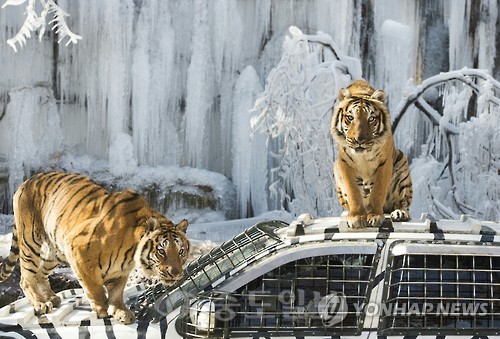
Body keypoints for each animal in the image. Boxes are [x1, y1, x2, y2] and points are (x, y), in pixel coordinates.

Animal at [0, 173, 190, 324]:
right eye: (161, 251)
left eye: (181, 251)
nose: (176, 273)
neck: (131, 253)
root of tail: (26, 181)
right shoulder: (78, 250)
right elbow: (95, 287)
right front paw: (103, 309)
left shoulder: (120, 271)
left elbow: (117, 292)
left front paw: (120, 311)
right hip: (31, 241)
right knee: (26, 277)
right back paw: (41, 303)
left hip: (53, 251)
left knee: (40, 273)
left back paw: (51, 297)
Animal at [330, 79, 412, 228]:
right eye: (350, 117)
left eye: (371, 119)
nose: (359, 140)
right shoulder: (345, 164)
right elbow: (353, 191)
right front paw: (356, 217)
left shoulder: (385, 163)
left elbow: (378, 191)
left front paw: (374, 216)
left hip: (402, 165)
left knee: (403, 202)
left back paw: (400, 213)